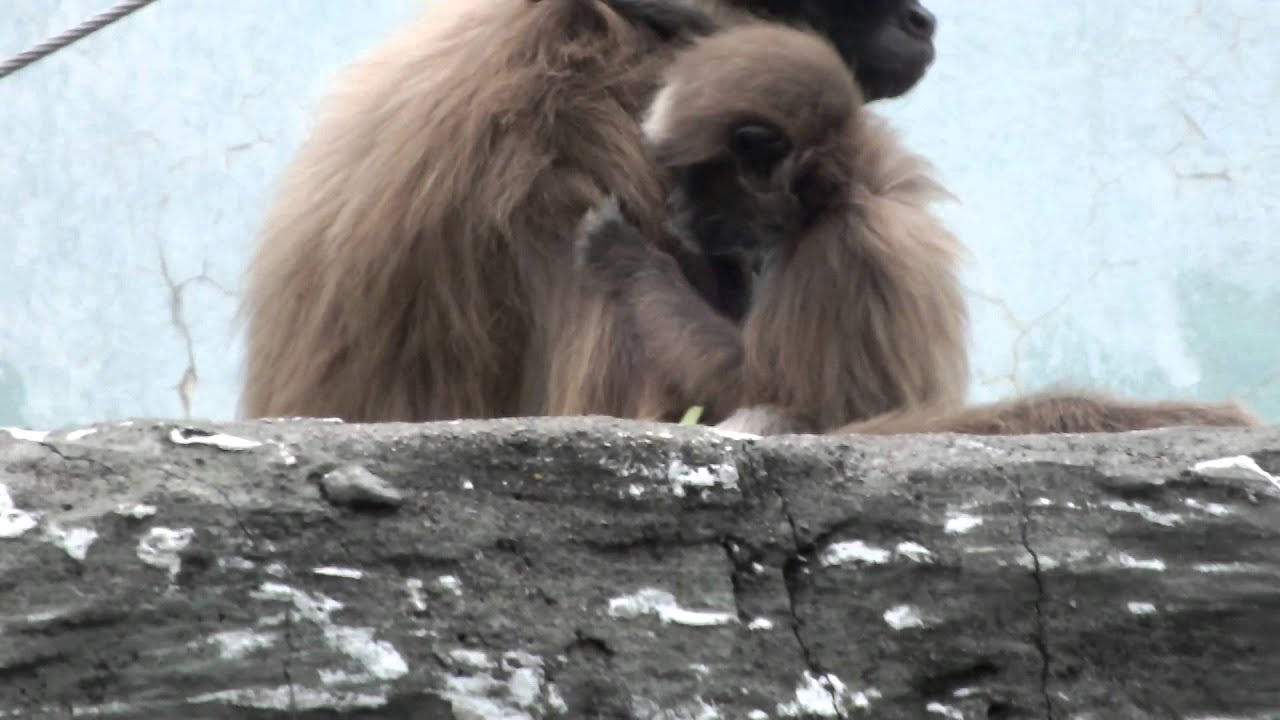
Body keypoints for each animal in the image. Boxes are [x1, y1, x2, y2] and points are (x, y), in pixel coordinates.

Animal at [571, 23, 1263, 435]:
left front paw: (627, 258)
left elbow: (760, 386)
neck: (840, 194)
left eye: (687, 178)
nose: (674, 210)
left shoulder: (833, 253)